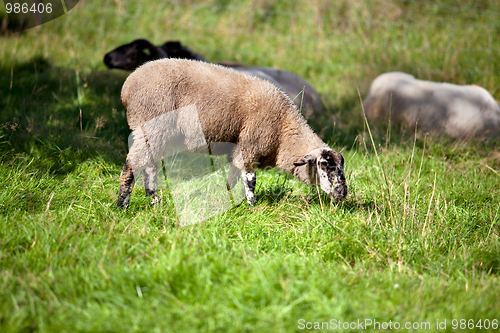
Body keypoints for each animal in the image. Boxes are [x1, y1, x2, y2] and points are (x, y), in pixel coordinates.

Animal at [116, 58, 348, 206]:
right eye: (324, 165)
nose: (342, 193)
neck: (284, 132)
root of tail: (127, 86)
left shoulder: (239, 149)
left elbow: (233, 177)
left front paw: (230, 200)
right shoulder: (250, 146)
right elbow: (250, 180)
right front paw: (252, 206)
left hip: (154, 134)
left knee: (149, 168)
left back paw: (154, 202)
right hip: (151, 126)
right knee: (133, 164)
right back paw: (122, 205)